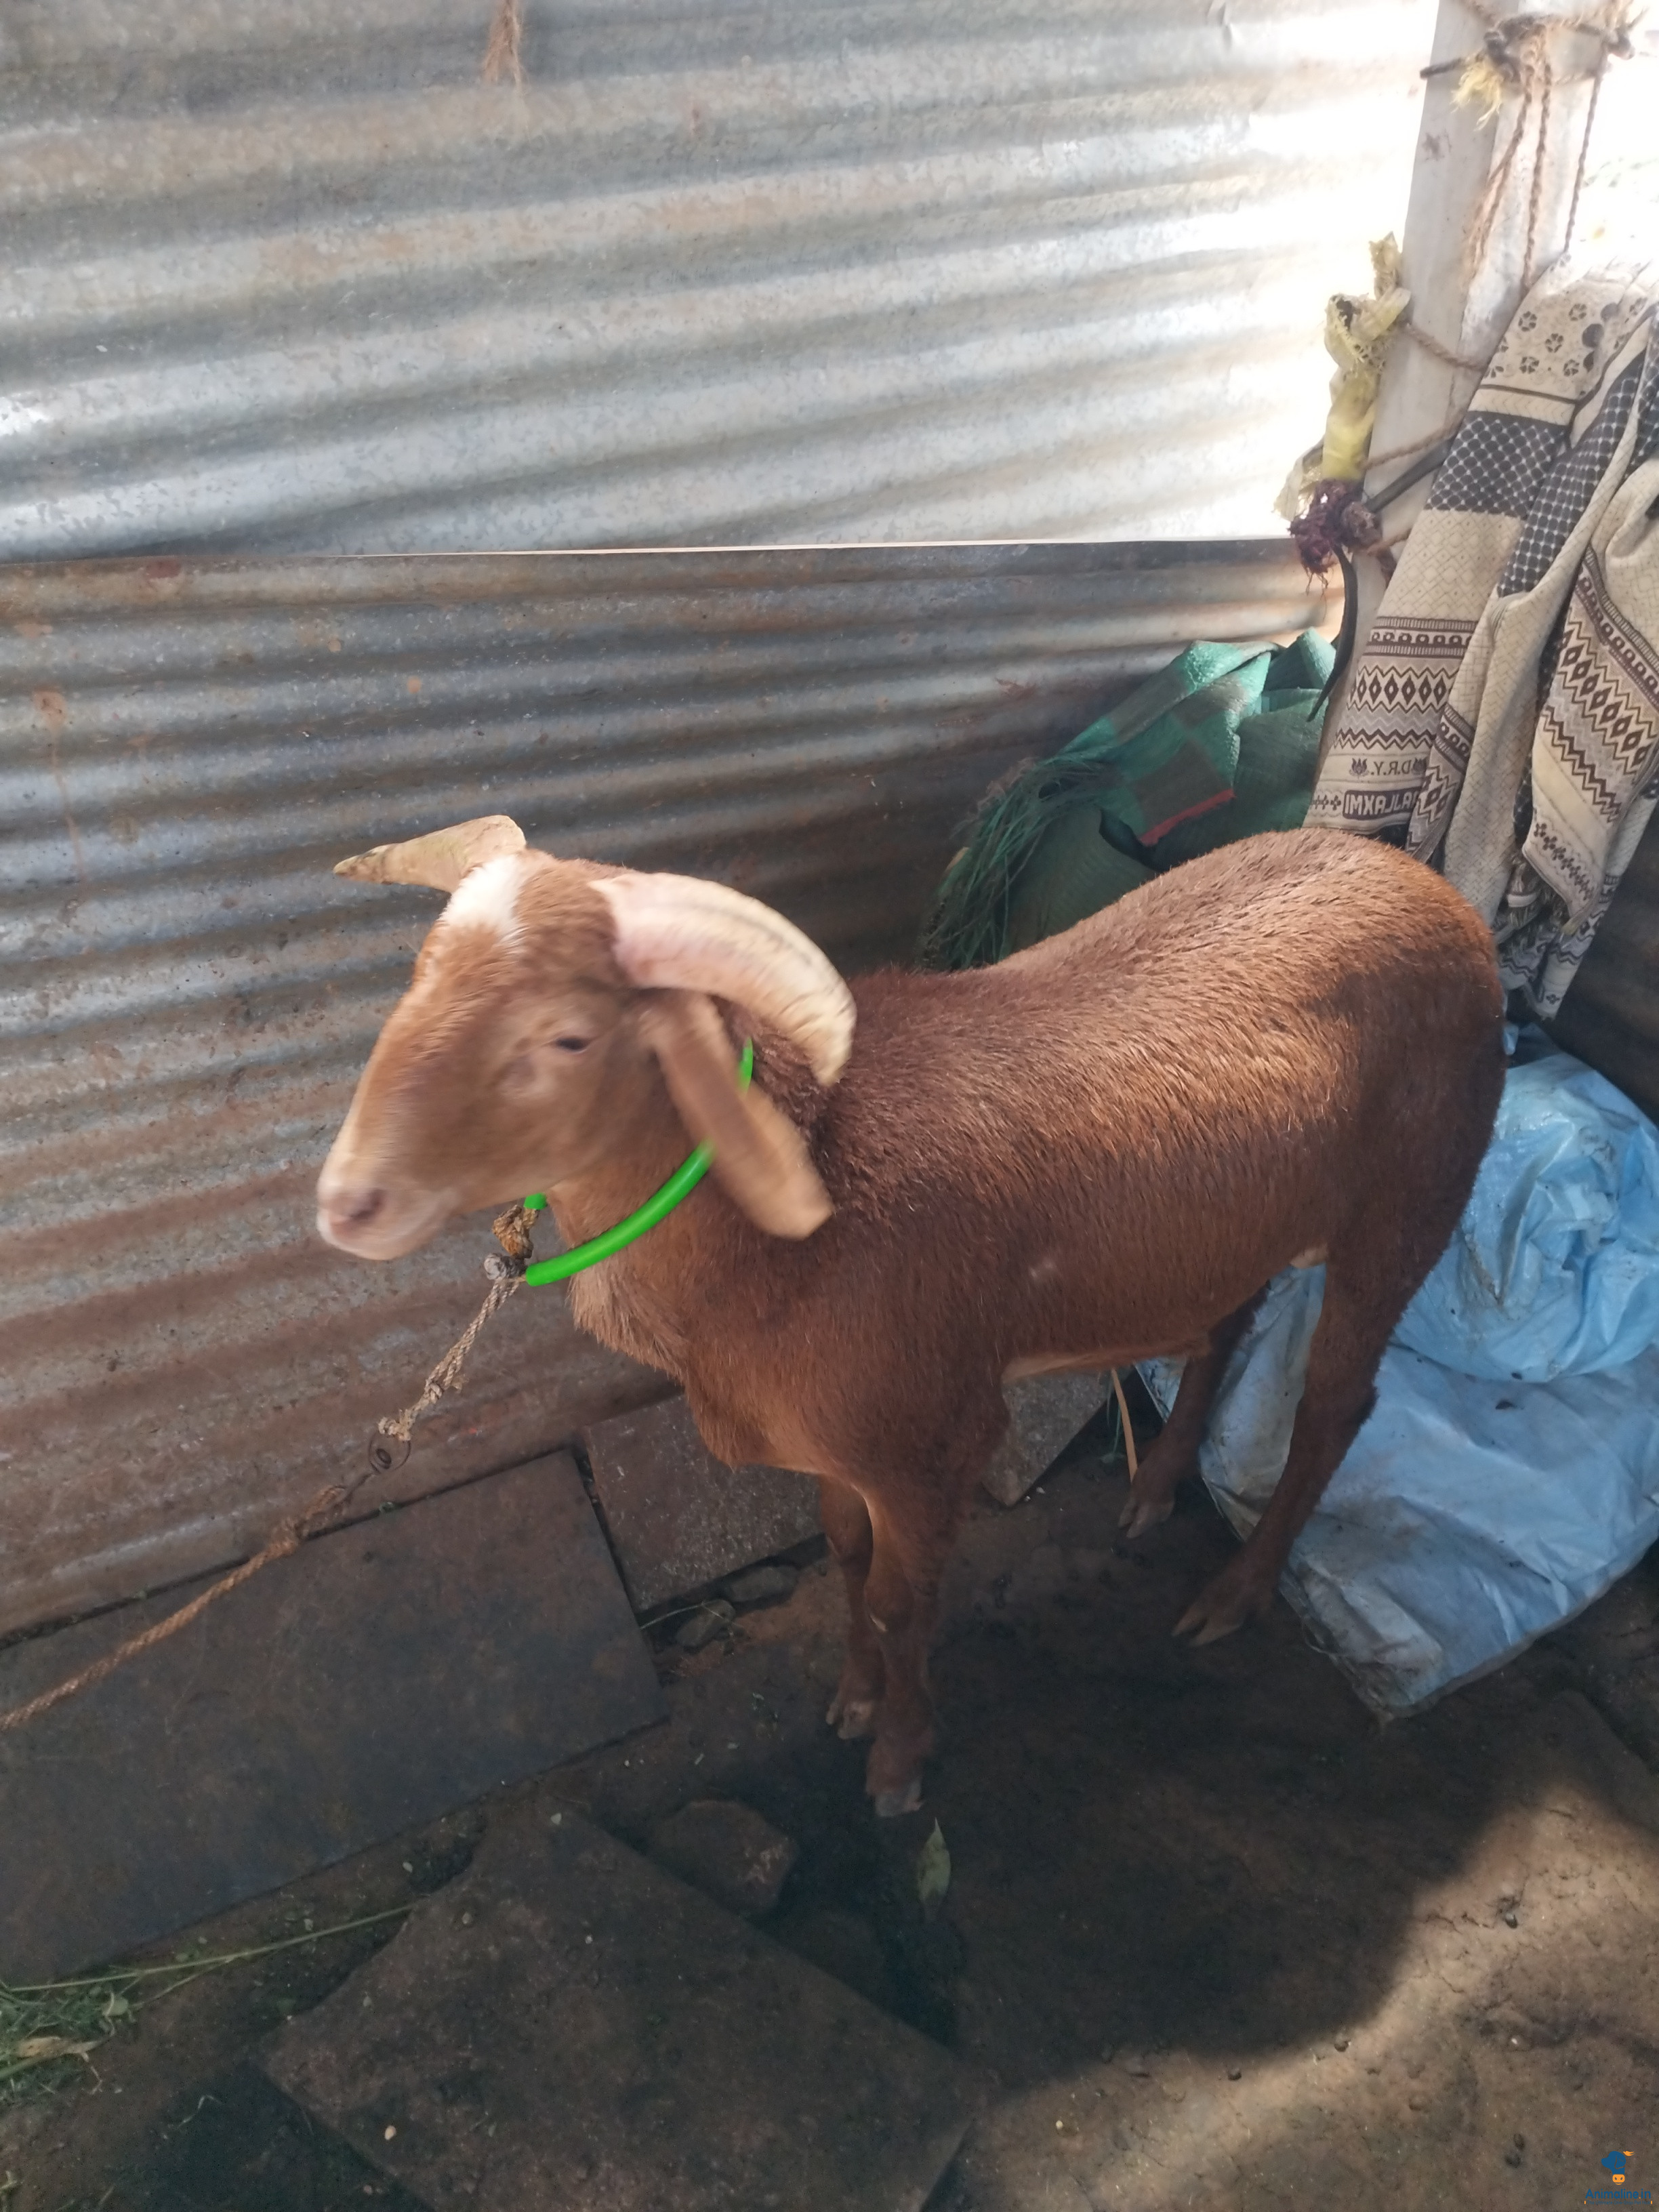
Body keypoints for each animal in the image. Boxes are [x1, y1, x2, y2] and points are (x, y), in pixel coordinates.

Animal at [317, 815, 1505, 1815]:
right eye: (418, 979)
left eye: (566, 1039)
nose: (345, 1203)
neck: (780, 1242)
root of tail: (1413, 874)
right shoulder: (841, 1445)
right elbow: (846, 1558)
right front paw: (852, 1700)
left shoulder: (934, 1441)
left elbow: (903, 1603)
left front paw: (898, 1758)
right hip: (1231, 1226)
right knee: (1223, 1327)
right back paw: (1155, 1488)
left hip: (1414, 1197)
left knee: (1336, 1407)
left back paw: (1237, 1592)